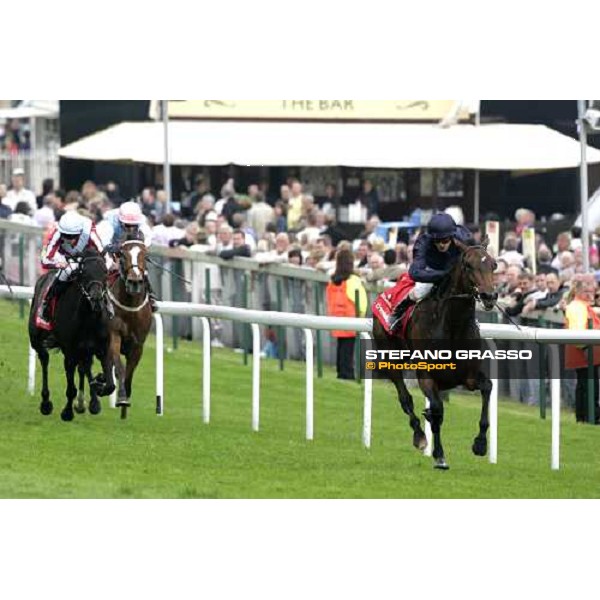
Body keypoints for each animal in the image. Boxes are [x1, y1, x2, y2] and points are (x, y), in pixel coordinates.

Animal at [27, 246, 116, 420]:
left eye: (104, 272)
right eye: (84, 272)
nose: (96, 298)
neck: (89, 318)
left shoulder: (102, 348)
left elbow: (110, 385)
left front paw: (99, 384)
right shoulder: (70, 352)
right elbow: (71, 388)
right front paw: (67, 412)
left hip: (85, 350)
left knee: (85, 367)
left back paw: (91, 402)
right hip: (36, 338)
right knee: (44, 358)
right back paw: (46, 403)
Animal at [108, 238, 155, 418]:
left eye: (145, 255)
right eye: (122, 254)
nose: (135, 281)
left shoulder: (138, 345)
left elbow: (129, 374)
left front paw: (124, 408)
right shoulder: (114, 335)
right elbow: (120, 369)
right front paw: (121, 397)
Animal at [376, 238, 496, 468]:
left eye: (494, 265)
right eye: (468, 265)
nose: (489, 296)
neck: (452, 326)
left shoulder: (468, 377)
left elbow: (487, 387)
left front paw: (480, 444)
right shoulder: (426, 375)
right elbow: (438, 410)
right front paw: (439, 455)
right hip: (390, 358)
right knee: (405, 399)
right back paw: (419, 437)